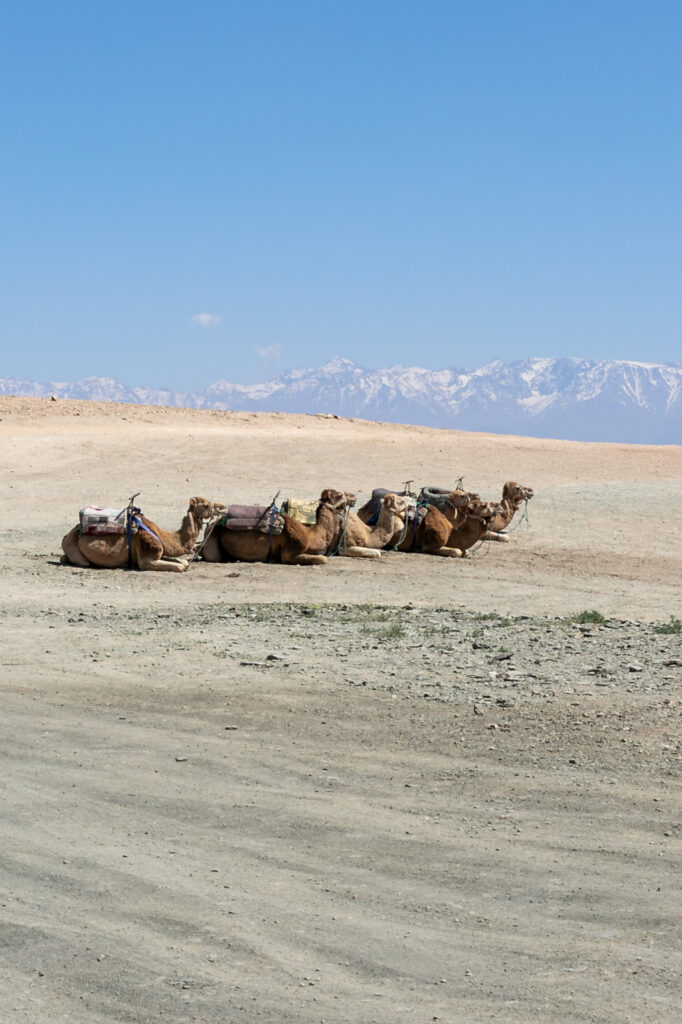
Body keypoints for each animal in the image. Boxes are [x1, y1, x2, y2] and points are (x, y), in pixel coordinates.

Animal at [61, 493, 225, 569]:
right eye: (205, 505)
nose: (222, 507)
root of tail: (67, 535)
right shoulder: (147, 559)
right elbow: (179, 567)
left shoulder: (160, 552)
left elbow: (183, 562)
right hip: (74, 549)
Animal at [200, 485, 350, 565]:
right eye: (339, 495)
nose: (352, 496)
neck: (311, 534)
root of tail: (211, 526)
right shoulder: (290, 552)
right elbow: (323, 559)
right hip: (212, 542)